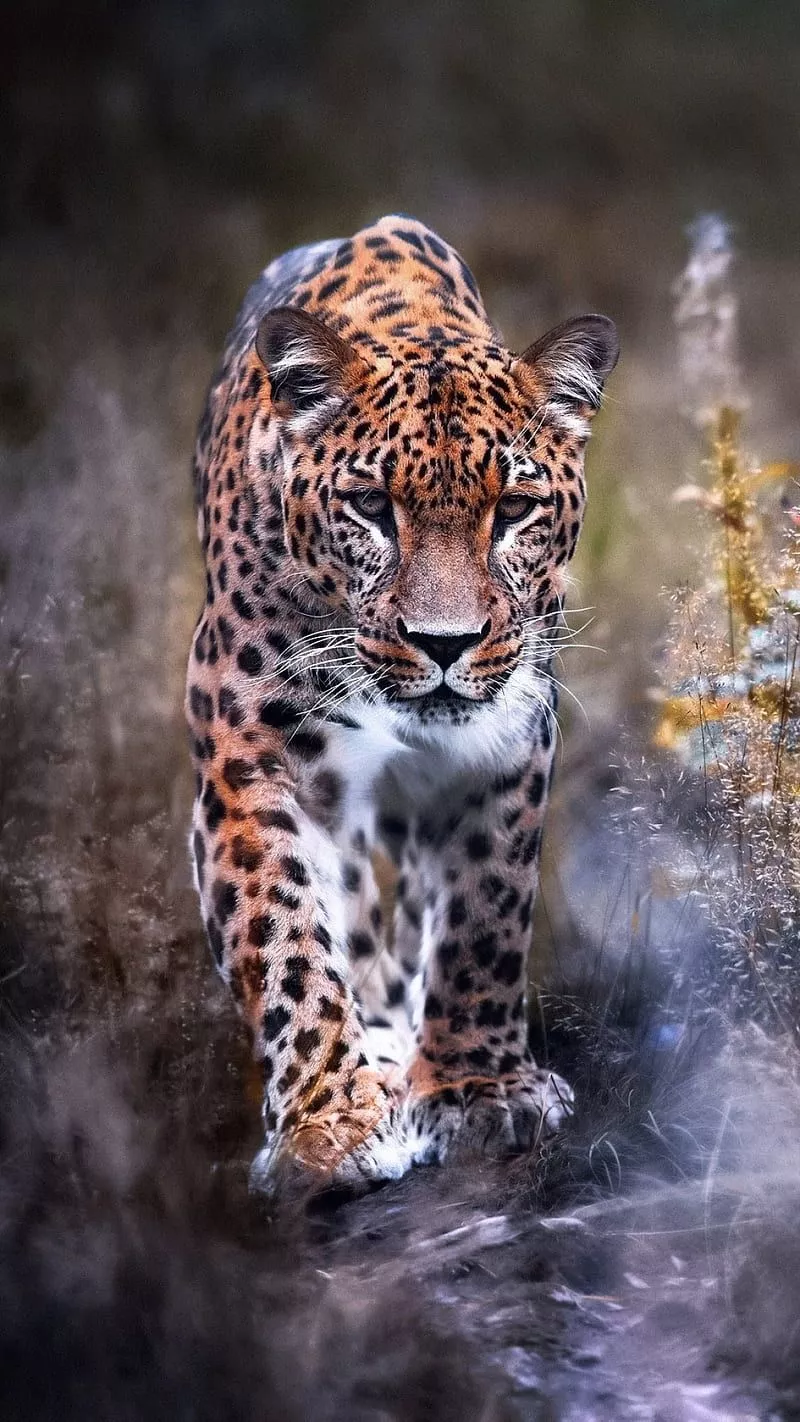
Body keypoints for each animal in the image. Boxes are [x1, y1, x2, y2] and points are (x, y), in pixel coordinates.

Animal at [186, 214, 618, 1189]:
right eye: (372, 506)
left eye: (515, 509)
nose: (445, 643)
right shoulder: (248, 756)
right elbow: (285, 936)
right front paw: (330, 1122)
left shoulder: (506, 744)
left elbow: (484, 912)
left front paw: (475, 1088)